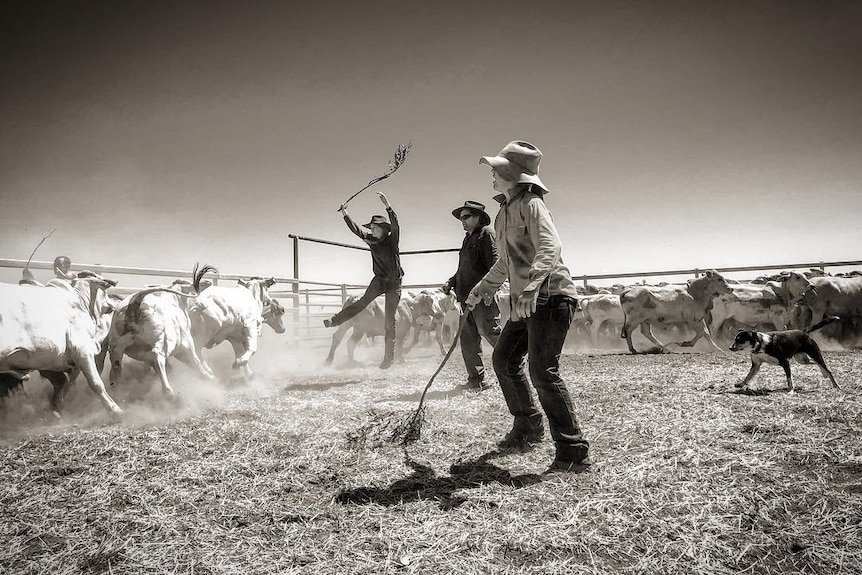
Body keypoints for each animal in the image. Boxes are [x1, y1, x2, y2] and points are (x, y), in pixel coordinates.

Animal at [0, 272, 123, 416]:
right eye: (105, 292)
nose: (114, 303)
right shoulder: (81, 349)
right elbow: (96, 383)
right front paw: (115, 410)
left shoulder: (47, 360)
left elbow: (61, 381)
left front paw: (56, 408)